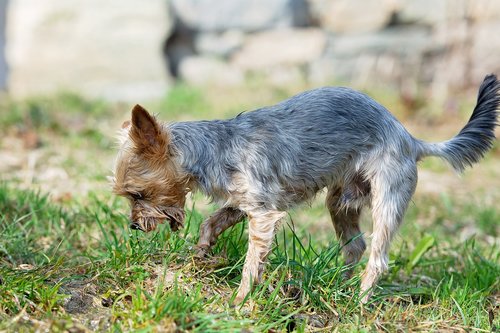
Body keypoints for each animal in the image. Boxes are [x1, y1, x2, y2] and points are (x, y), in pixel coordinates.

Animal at [111, 75, 498, 304]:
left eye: (138, 195)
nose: (132, 226)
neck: (219, 148)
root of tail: (410, 138)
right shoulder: (243, 201)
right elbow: (212, 221)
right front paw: (202, 252)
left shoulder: (263, 214)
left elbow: (251, 262)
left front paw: (239, 302)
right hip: (341, 199)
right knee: (354, 245)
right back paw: (339, 285)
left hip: (388, 195)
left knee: (378, 256)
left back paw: (359, 303)